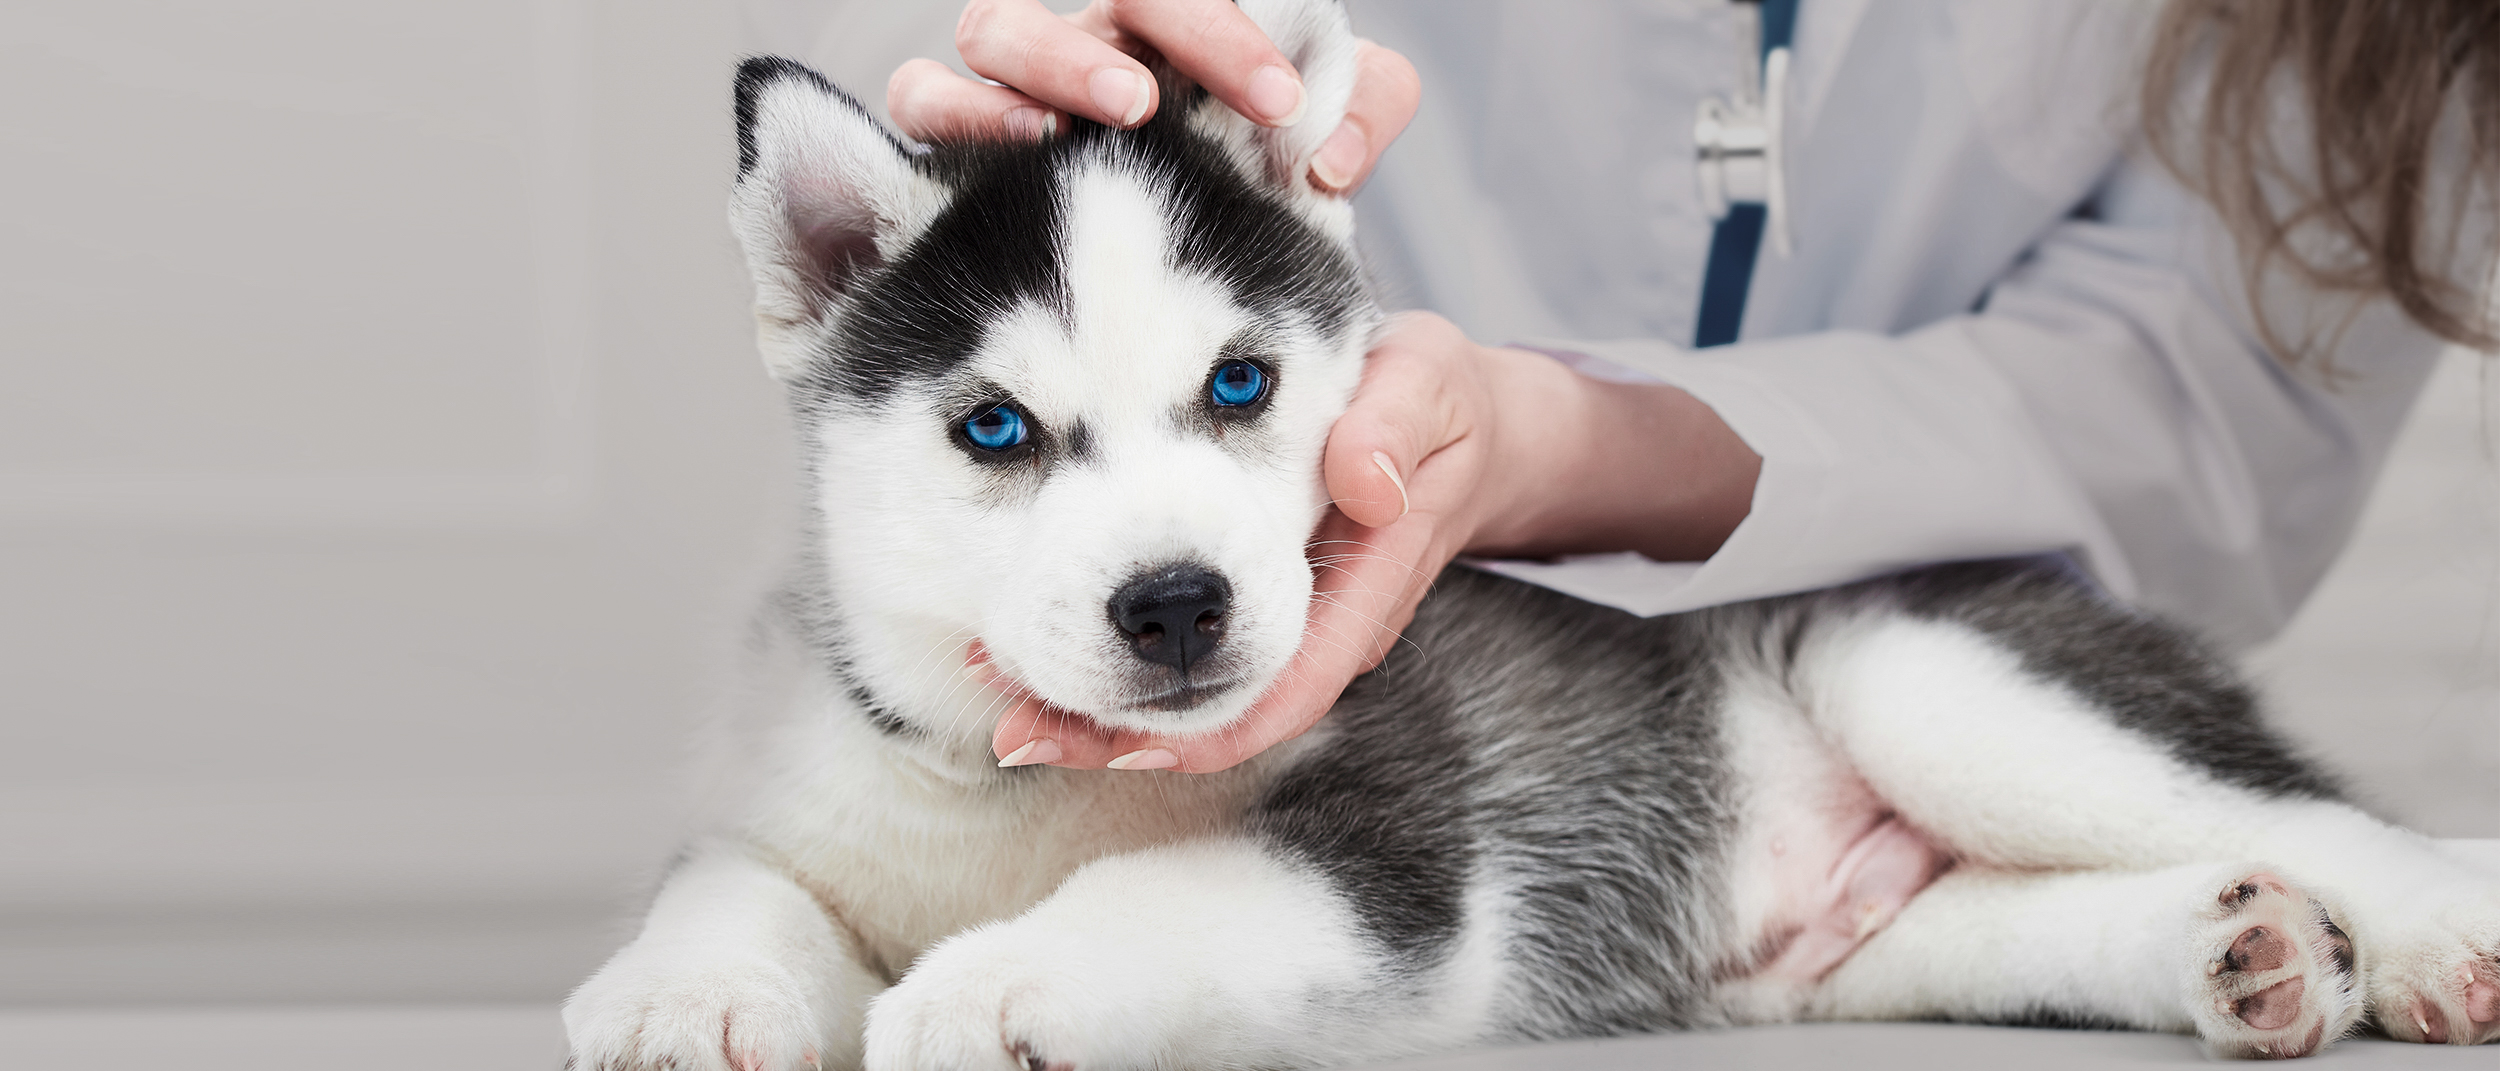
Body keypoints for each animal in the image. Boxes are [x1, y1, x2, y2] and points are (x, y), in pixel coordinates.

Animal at [567, 4, 2500, 1065]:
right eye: (994, 429)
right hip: (1861, 948)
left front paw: (993, 980)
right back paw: (2240, 950)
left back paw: (2423, 939)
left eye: (1243, 383)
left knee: (2340, 821)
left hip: (1924, 669)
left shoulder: (1392, 852)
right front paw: (678, 993)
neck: (1019, 787)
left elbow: (1160, 890)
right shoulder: (806, 787)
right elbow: (732, 883)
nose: (1179, 605)